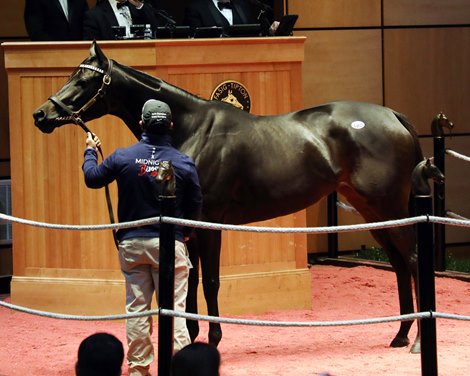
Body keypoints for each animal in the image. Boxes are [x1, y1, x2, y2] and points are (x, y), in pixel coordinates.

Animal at [35, 41, 426, 352]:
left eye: (84, 80)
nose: (42, 114)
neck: (191, 129)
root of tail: (394, 116)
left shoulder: (209, 223)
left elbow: (209, 281)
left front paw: (213, 338)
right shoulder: (187, 224)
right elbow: (191, 279)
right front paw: (192, 335)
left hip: (388, 208)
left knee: (413, 260)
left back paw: (418, 340)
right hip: (374, 213)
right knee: (398, 264)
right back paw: (400, 334)